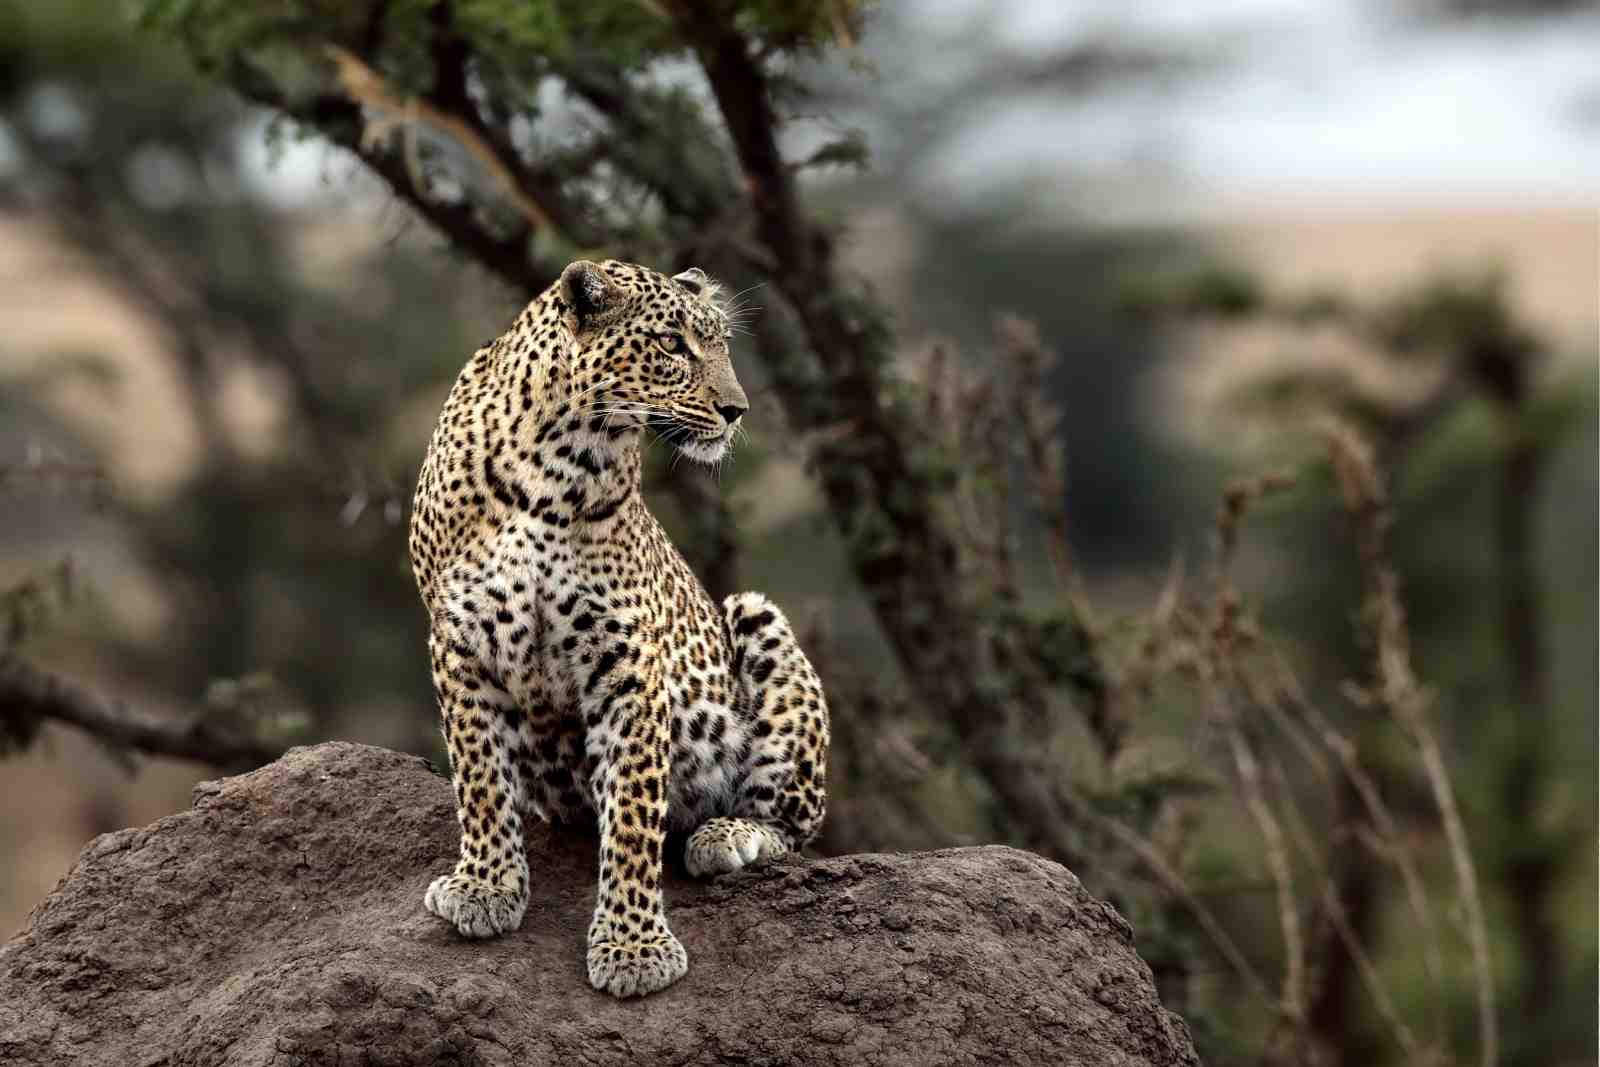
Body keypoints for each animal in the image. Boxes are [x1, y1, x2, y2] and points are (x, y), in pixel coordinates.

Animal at [407, 258, 830, 998]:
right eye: (672, 345)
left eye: (721, 344)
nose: (738, 410)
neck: (554, 464)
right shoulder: (458, 640)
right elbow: (479, 775)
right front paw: (484, 886)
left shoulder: (627, 660)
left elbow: (633, 813)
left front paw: (633, 947)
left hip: (757, 617)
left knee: (793, 826)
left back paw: (727, 836)